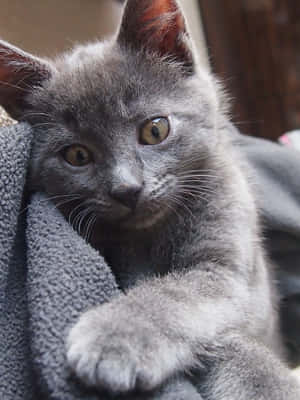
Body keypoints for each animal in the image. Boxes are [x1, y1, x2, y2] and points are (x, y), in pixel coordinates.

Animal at [0, 0, 300, 396]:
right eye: (77, 155)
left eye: (155, 130)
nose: (127, 188)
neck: (150, 235)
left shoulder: (227, 269)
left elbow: (175, 293)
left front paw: (114, 338)